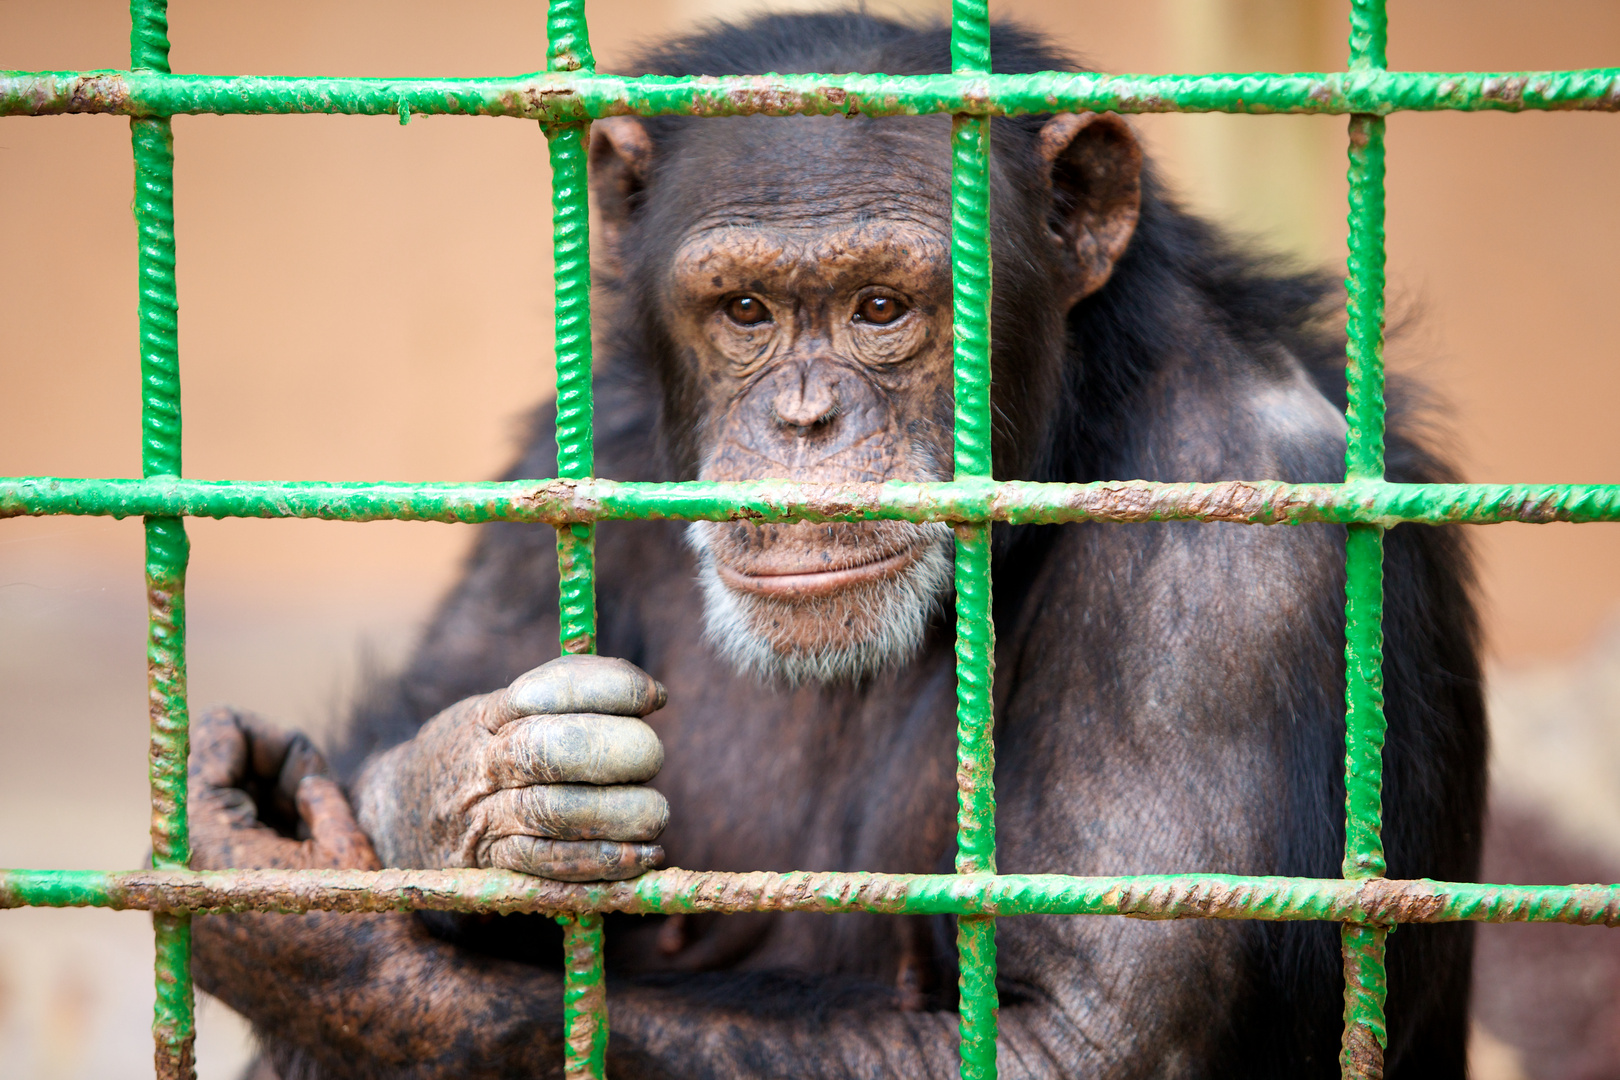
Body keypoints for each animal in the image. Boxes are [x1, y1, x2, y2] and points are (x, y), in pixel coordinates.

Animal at [183, 10, 1483, 1080]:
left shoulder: (1238, 546)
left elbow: (1091, 1030)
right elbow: (413, 698)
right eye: (747, 312)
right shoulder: (584, 438)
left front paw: (313, 934)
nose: (805, 419)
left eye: (883, 308)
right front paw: (453, 791)